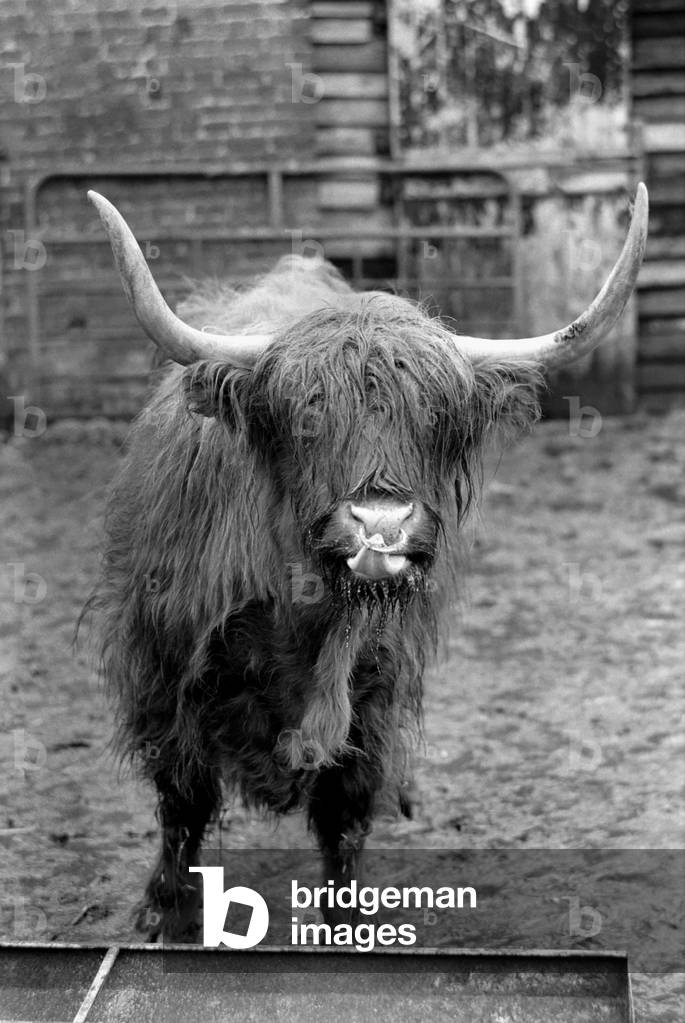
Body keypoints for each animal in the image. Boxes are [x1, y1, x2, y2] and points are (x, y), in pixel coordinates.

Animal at [87, 184, 647, 941]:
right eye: (305, 417)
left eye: (436, 417)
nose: (381, 525)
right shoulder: (163, 671)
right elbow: (183, 797)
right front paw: (164, 909)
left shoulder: (375, 689)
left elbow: (345, 809)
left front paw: (347, 918)